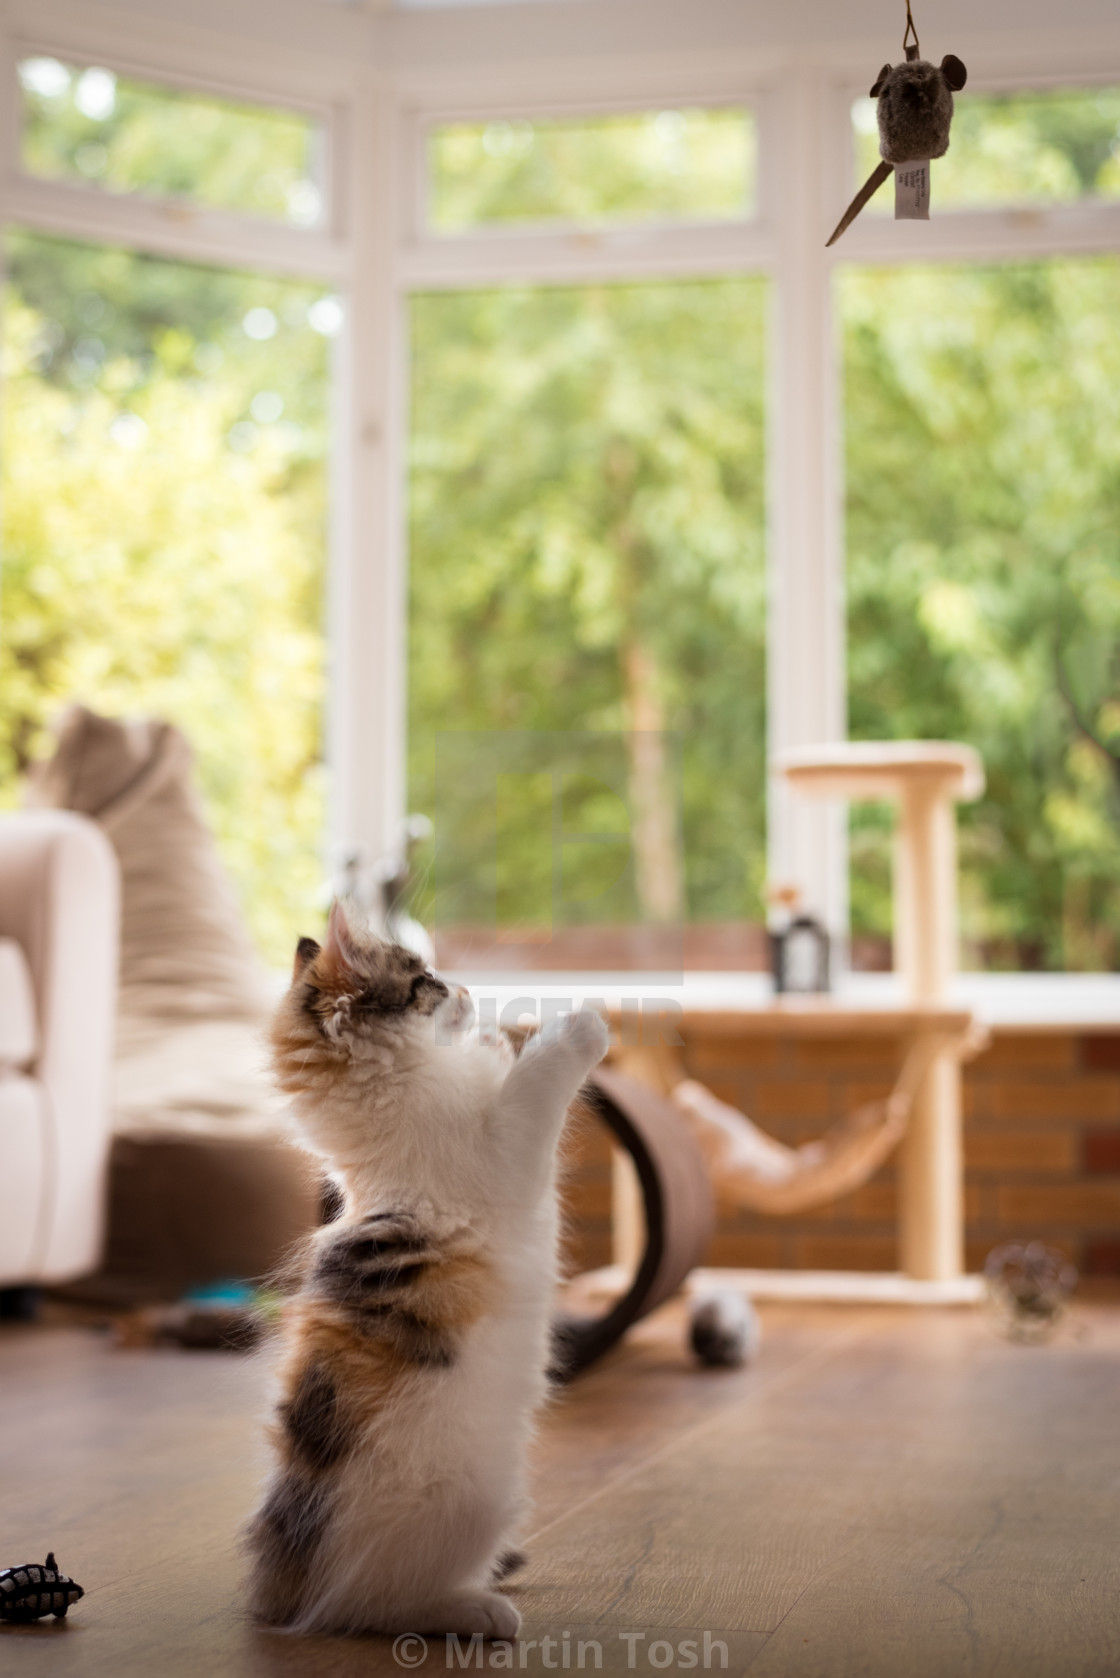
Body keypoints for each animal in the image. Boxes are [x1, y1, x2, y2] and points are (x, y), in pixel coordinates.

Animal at [246, 906, 607, 1637]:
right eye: (425, 982)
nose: (466, 989)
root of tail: (292, 1589)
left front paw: (501, 1036)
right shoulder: (507, 1152)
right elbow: (535, 1081)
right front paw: (577, 1022)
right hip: (475, 1502)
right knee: (373, 1606)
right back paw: (479, 1610)